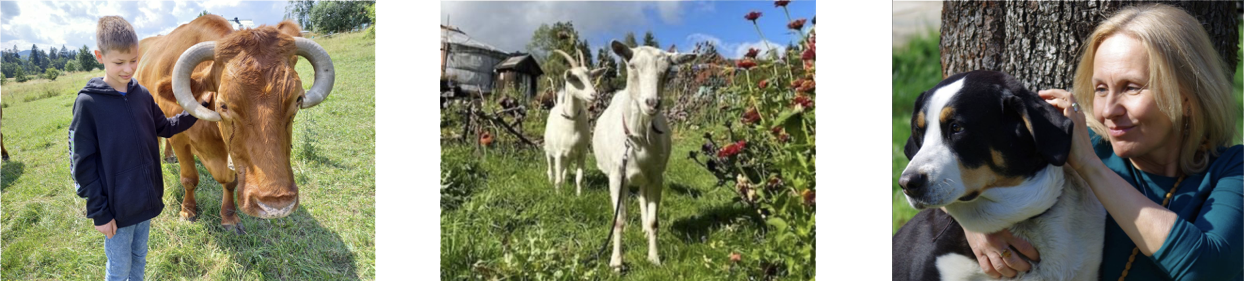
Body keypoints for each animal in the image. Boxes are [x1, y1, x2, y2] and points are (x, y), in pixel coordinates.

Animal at [134, 15, 335, 234]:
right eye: (223, 105)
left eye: (298, 99)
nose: (276, 205)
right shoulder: (180, 140)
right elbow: (189, 179)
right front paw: (187, 211)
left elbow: (231, 183)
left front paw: (229, 217)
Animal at [542, 49, 604, 195]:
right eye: (575, 78)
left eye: (591, 77)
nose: (594, 95)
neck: (572, 123)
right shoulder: (559, 154)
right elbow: (558, 179)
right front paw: (558, 195)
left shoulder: (581, 153)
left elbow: (579, 178)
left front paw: (579, 196)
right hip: (548, 149)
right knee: (551, 169)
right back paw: (550, 181)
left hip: (569, 156)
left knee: (564, 170)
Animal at [594, 40, 701, 268]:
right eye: (632, 66)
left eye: (668, 70)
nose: (652, 103)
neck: (637, 139)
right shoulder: (617, 176)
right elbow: (618, 220)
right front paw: (616, 261)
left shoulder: (656, 176)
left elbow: (654, 220)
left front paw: (654, 258)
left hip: (643, 177)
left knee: (642, 197)